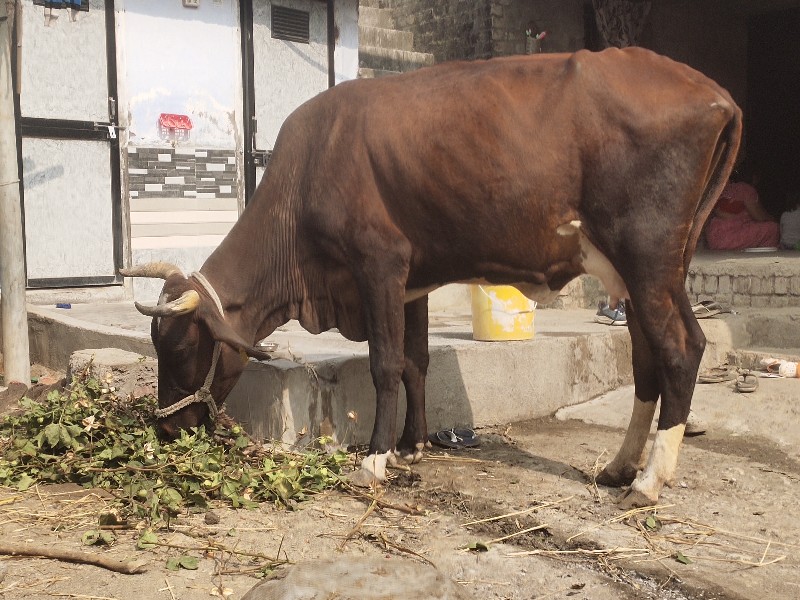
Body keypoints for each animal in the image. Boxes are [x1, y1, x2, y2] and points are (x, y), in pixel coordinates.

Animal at [122, 47, 740, 506]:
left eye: (180, 348)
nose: (166, 429)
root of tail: (711, 90)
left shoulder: (378, 263)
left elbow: (385, 364)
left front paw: (373, 459)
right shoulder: (411, 280)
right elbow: (416, 361)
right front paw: (411, 444)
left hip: (646, 257)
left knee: (682, 349)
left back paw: (649, 480)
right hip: (642, 272)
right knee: (646, 360)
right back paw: (618, 466)